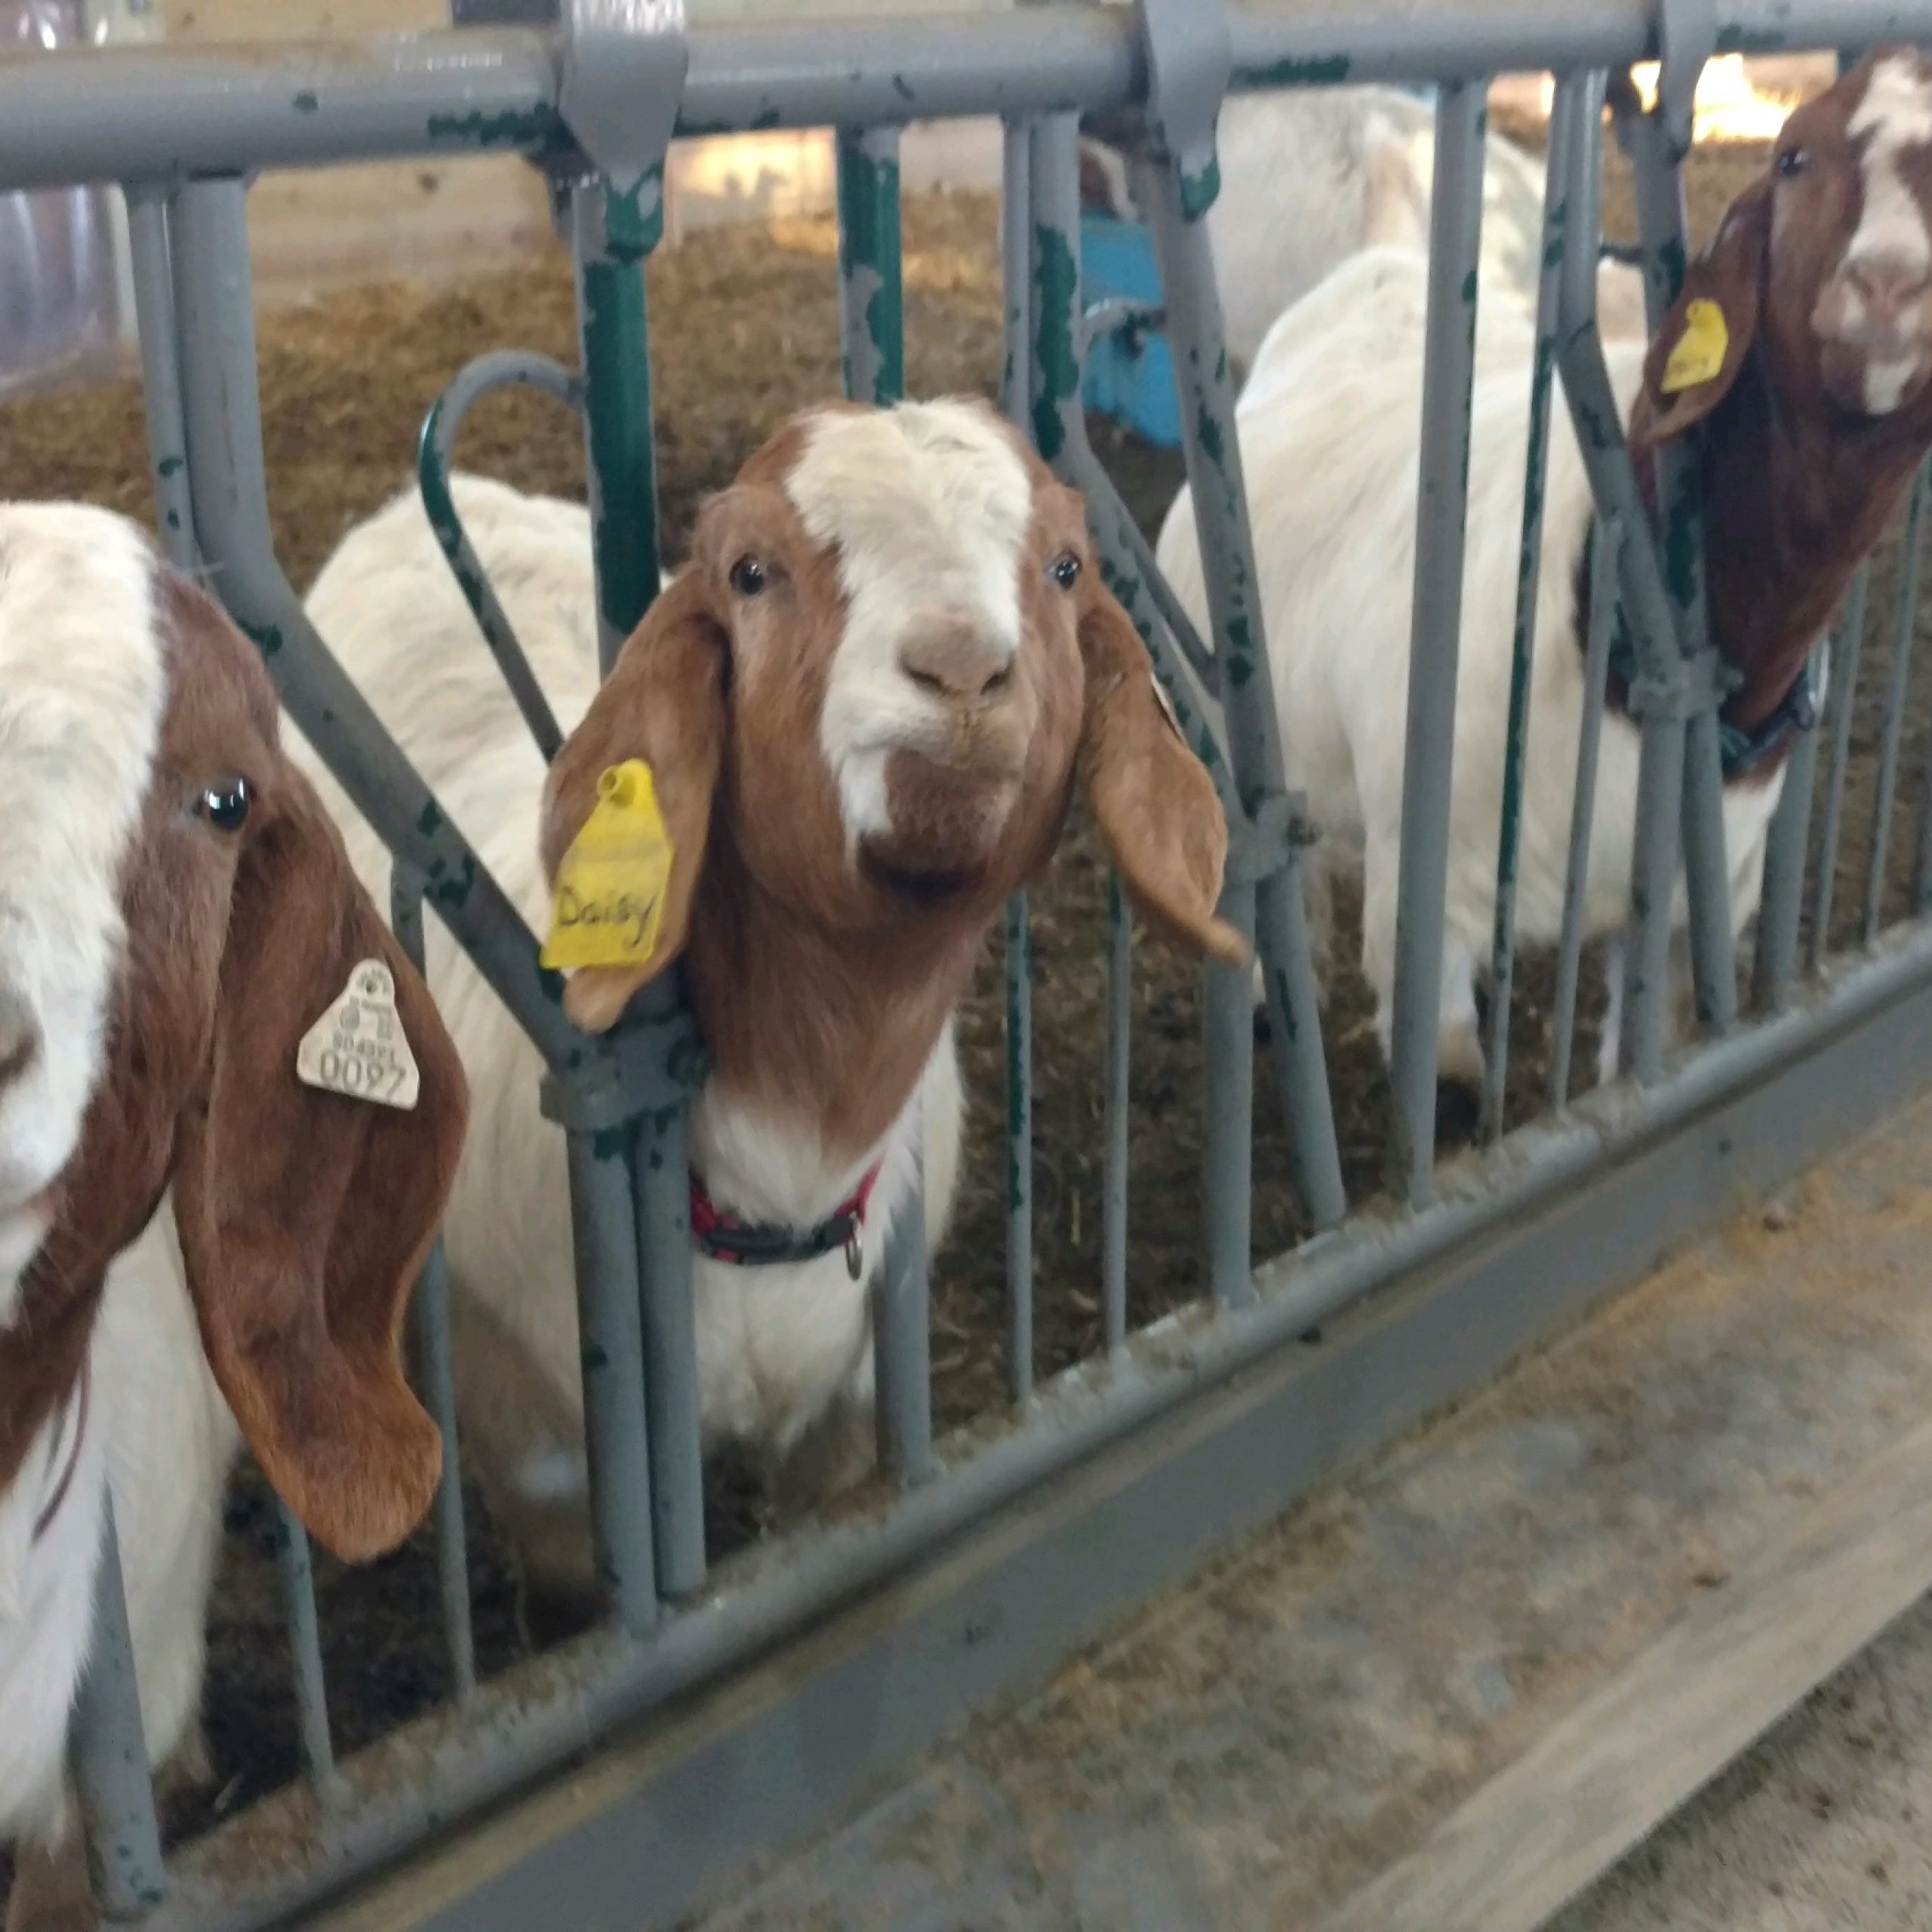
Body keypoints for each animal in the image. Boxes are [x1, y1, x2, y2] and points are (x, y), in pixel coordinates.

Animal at [297, 395, 1241, 1608]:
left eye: (1067, 564)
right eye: (751, 571)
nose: (962, 671)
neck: (789, 1165)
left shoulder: (845, 1420)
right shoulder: (537, 1462)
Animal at [1154, 47, 1932, 1097]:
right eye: (1793, 157)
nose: (1891, 283)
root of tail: (1387, 262)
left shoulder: (1693, 908)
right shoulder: (1427, 893)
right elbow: (1446, 1069)